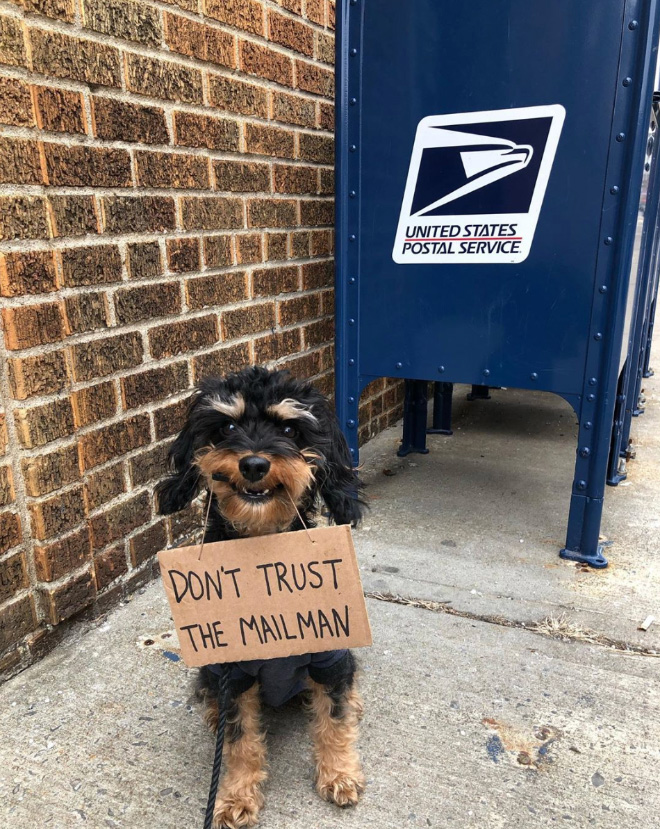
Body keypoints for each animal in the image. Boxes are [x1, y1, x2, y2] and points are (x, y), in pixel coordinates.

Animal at [158, 368, 368, 828]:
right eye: (228, 427)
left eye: (289, 429)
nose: (253, 464)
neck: (262, 543)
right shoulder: (232, 672)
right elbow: (239, 740)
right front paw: (236, 796)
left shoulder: (331, 653)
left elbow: (334, 718)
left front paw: (339, 774)